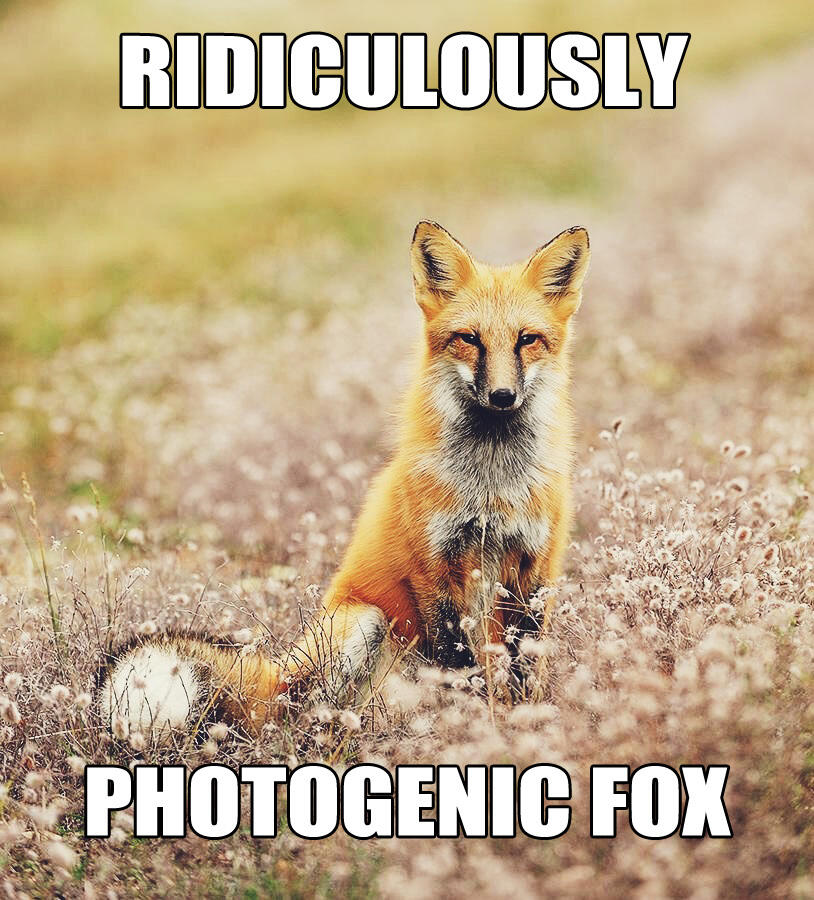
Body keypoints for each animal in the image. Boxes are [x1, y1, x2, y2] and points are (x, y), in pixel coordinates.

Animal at [100, 221, 590, 739]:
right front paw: (475, 723)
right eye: (469, 338)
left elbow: (525, 660)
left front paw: (523, 720)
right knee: (301, 711)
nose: (501, 396)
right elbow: (459, 660)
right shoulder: (434, 566)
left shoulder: (536, 566)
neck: (492, 484)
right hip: (360, 623)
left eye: (527, 340)